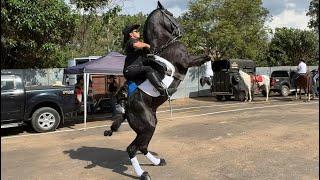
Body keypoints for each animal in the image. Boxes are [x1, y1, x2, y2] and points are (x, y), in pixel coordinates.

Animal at [105, 2, 211, 179]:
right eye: (171, 14)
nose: (181, 31)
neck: (165, 44)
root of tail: (127, 107)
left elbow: (209, 56)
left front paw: (207, 78)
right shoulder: (187, 60)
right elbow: (208, 56)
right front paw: (207, 78)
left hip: (147, 125)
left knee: (141, 147)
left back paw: (157, 161)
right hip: (147, 125)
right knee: (132, 149)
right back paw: (143, 174)